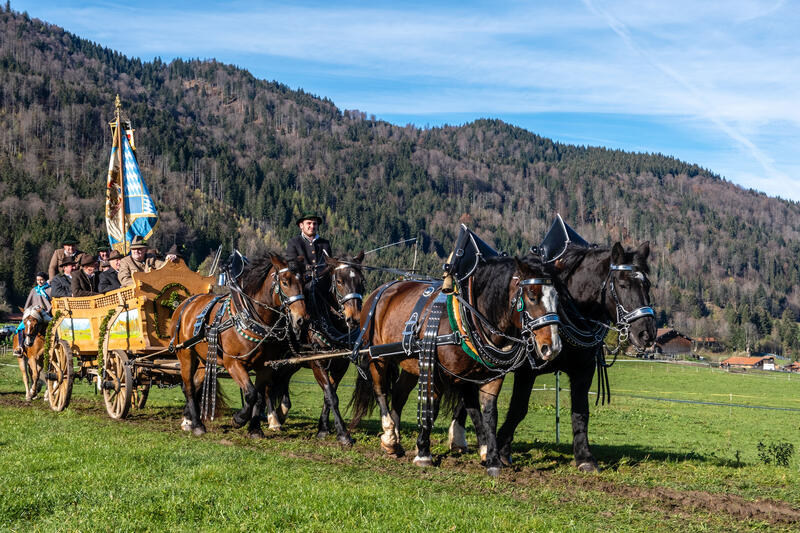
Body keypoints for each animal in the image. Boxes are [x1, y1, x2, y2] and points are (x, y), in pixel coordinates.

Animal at [170, 251, 308, 438]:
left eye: (304, 281)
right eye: (285, 282)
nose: (301, 319)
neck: (251, 319)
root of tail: (185, 304)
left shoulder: (265, 366)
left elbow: (259, 397)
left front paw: (255, 429)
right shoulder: (233, 363)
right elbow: (251, 394)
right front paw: (239, 419)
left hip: (204, 360)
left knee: (195, 385)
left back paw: (188, 420)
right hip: (186, 355)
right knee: (189, 387)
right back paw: (197, 425)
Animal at [268, 252, 368, 444]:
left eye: (362, 281)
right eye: (339, 281)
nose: (354, 319)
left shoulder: (340, 365)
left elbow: (329, 395)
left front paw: (323, 428)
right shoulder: (317, 363)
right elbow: (331, 396)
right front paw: (343, 434)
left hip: (292, 363)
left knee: (281, 381)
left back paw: (281, 412)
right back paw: (272, 419)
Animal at [354, 256, 560, 476]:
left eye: (557, 297)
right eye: (532, 296)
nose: (552, 347)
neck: (470, 319)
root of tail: (382, 290)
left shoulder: (483, 376)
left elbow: (485, 414)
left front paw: (491, 457)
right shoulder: (437, 373)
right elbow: (433, 410)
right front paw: (423, 452)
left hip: (411, 364)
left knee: (399, 394)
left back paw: (395, 441)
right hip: (377, 358)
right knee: (381, 391)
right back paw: (390, 435)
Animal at [446, 241, 660, 470]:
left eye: (647, 285)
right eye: (623, 284)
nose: (647, 334)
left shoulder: (583, 370)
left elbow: (581, 411)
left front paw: (585, 457)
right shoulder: (526, 372)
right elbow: (518, 409)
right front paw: (502, 449)